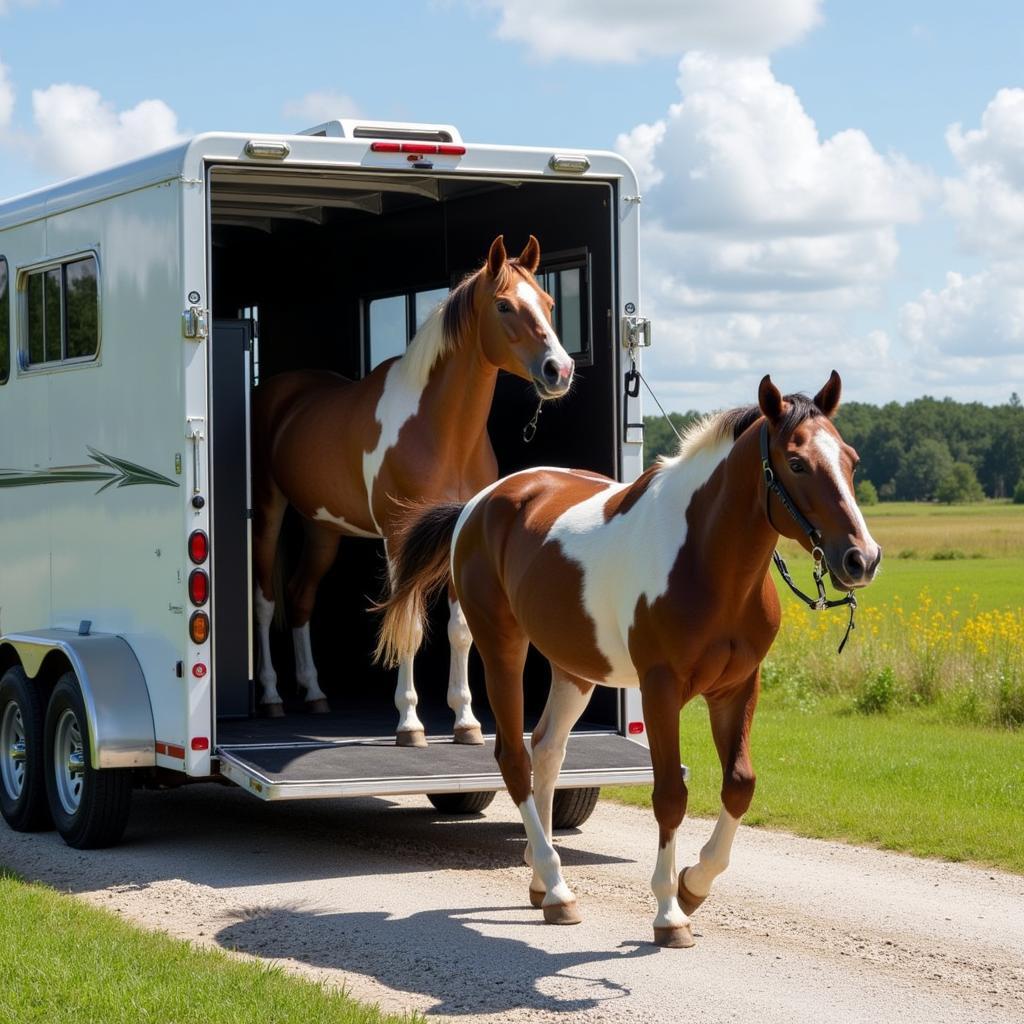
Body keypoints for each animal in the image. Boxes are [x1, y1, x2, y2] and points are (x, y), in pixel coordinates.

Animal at [251, 234, 573, 741]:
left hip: (323, 529)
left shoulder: (459, 532)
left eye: (548, 302)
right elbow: (408, 625)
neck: (441, 430)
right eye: (504, 305)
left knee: (301, 597)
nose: (559, 370)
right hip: (269, 510)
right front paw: (409, 723)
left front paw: (466, 721)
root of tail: (278, 390)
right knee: (265, 603)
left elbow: (460, 629)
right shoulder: (399, 537)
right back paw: (270, 698)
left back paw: (315, 693)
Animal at [376, 370, 880, 942]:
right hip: (501, 645)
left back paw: (541, 881)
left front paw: (693, 884)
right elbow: (670, 796)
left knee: (547, 750)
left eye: (850, 459)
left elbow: (739, 785)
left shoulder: (736, 687)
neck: (706, 562)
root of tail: (479, 503)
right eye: (796, 462)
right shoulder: (661, 687)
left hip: (574, 666)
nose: (862, 559)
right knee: (514, 758)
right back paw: (558, 888)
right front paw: (669, 912)